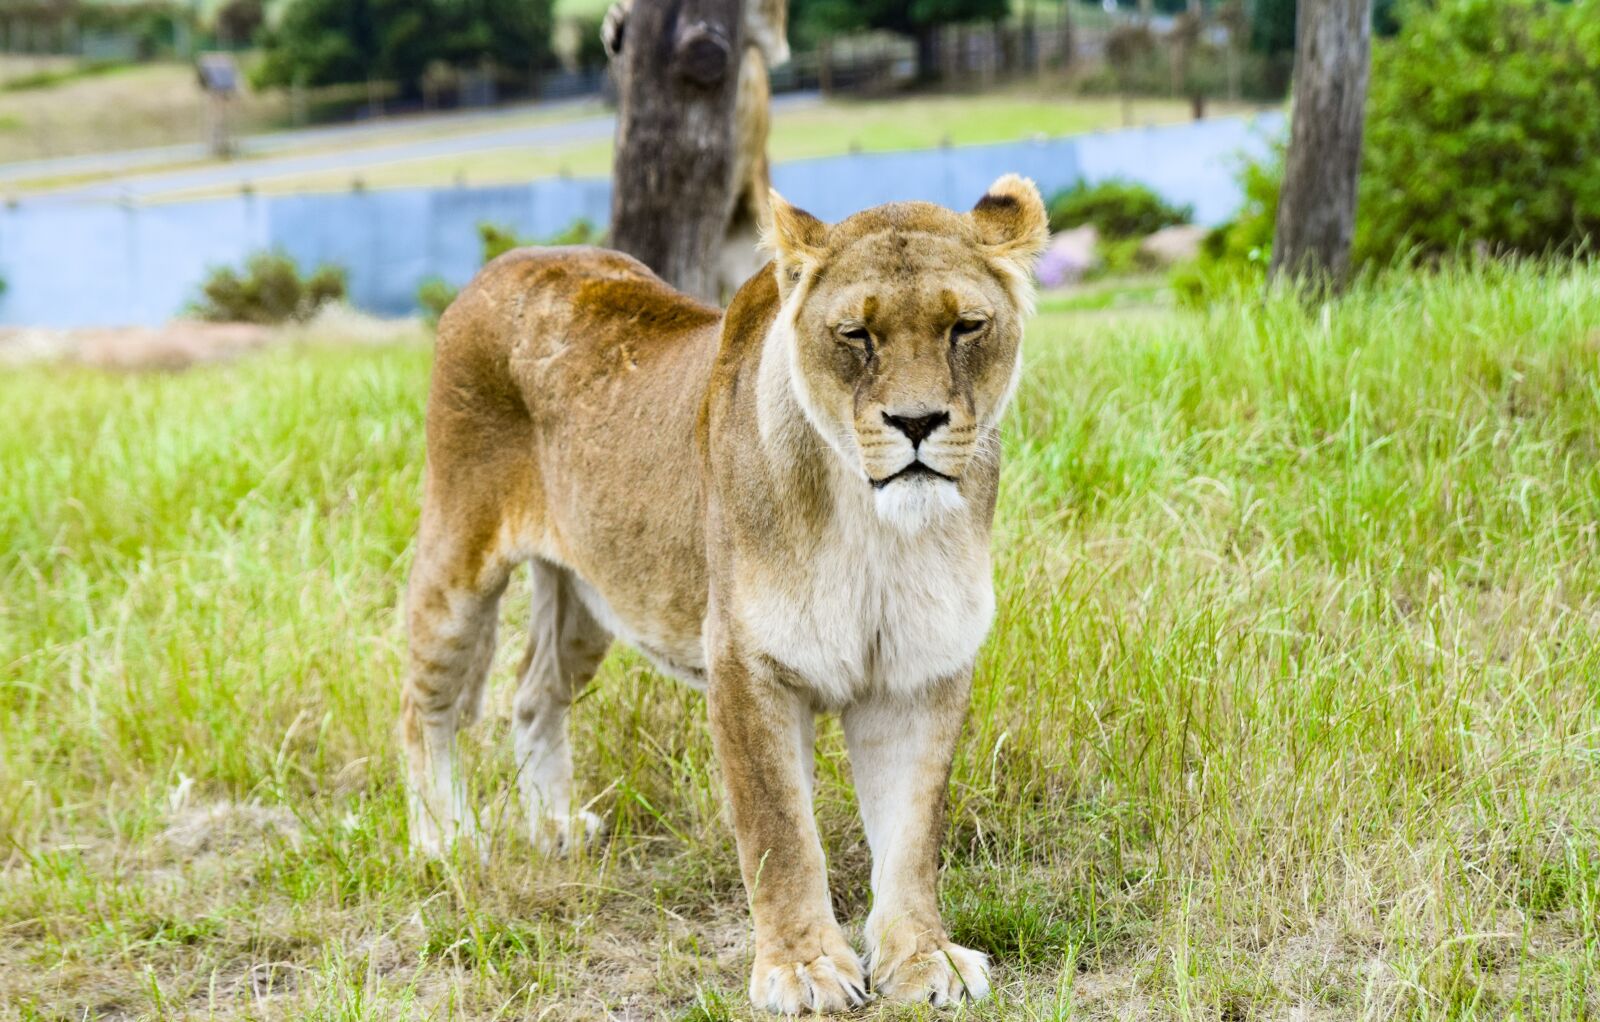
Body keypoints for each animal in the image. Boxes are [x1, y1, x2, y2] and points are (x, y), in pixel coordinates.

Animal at [399, 175, 1049, 1013]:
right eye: (855, 335)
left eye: (966, 326)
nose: (916, 421)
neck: (874, 524)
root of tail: (504, 263)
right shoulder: (747, 662)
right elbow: (780, 832)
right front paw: (804, 970)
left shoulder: (921, 668)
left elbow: (911, 835)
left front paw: (923, 959)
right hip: (457, 560)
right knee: (426, 706)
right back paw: (444, 842)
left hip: (593, 598)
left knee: (533, 693)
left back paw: (556, 827)